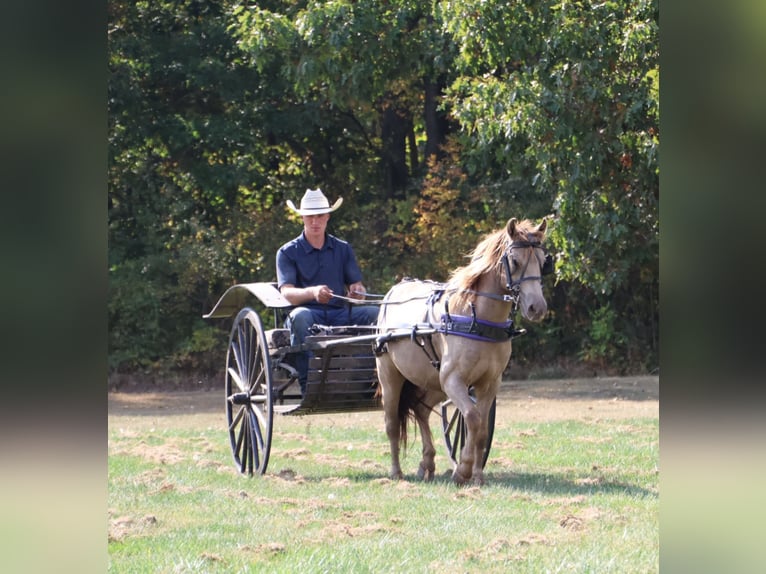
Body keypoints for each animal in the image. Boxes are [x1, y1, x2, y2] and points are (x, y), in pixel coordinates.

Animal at [375, 217, 550, 485]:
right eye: (515, 261)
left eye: (542, 262)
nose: (536, 308)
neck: (478, 320)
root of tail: (392, 292)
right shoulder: (453, 380)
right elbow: (472, 418)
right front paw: (463, 469)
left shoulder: (489, 383)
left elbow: (481, 429)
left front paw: (476, 475)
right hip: (391, 376)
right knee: (392, 422)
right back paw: (396, 472)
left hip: (432, 382)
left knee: (421, 410)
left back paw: (427, 463)